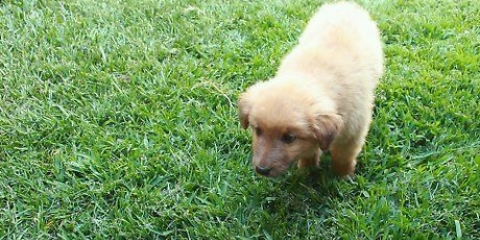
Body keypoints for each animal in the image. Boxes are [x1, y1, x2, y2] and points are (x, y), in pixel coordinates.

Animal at [238, 1, 384, 177]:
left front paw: (343, 176)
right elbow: (309, 153)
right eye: (258, 130)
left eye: (289, 138)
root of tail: (345, 5)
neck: (309, 76)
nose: (262, 170)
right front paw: (306, 169)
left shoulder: (352, 134)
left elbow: (343, 157)